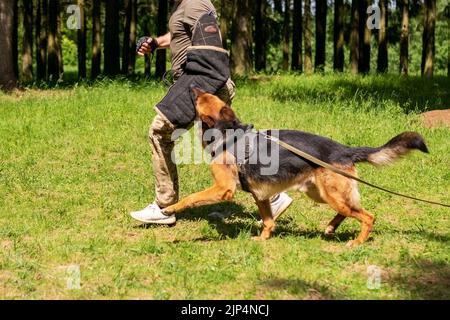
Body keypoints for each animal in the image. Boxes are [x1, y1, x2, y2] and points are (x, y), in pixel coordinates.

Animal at [163, 89, 428, 246]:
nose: (192, 87)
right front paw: (263, 239)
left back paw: (357, 242)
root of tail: (345, 150)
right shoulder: (261, 195)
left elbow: (191, 197)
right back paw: (331, 228)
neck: (228, 134)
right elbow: (268, 221)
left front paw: (170, 208)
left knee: (368, 216)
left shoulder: (223, 189)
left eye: (200, 98)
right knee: (349, 211)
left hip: (332, 196)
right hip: (321, 194)